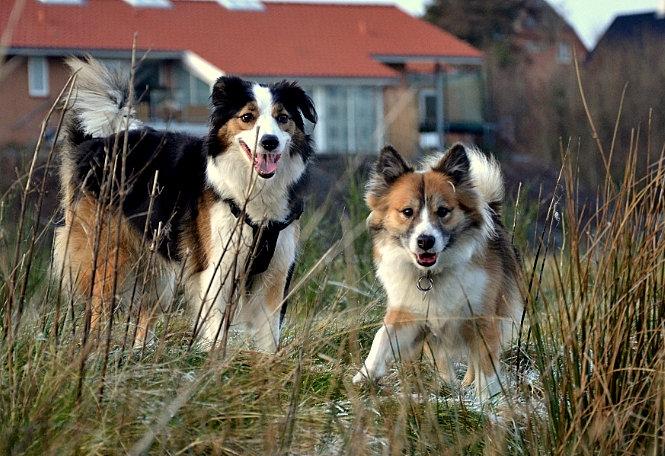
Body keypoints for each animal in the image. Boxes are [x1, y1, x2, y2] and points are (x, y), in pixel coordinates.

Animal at [52, 57, 316, 350]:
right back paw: (95, 350)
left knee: (146, 311)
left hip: (156, 266)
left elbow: (269, 337)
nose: (270, 142)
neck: (252, 190)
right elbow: (216, 329)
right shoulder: (218, 269)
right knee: (98, 306)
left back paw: (141, 351)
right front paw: (212, 358)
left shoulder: (276, 274)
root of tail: (95, 143)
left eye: (283, 118)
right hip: (108, 255)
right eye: (247, 117)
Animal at [350, 144, 520, 398]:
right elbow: (382, 335)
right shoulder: (409, 312)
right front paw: (367, 373)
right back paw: (449, 384)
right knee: (443, 359)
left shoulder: (482, 318)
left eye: (442, 211)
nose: (425, 241)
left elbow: (486, 365)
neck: (432, 275)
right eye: (407, 212)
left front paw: (486, 399)